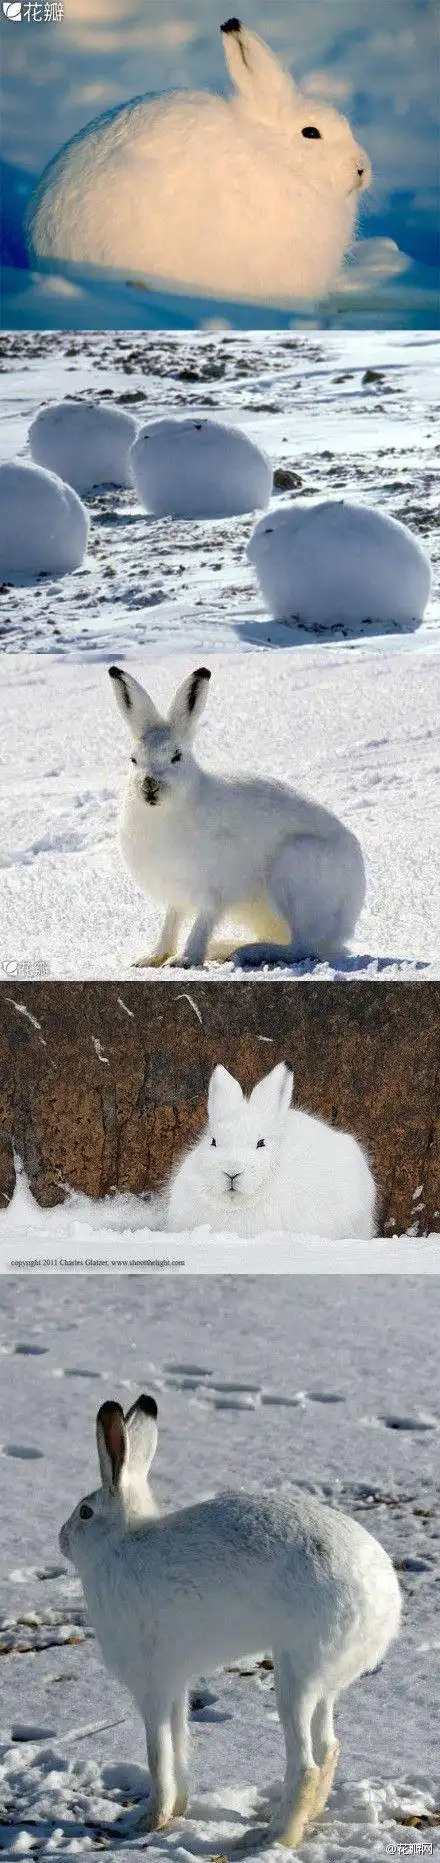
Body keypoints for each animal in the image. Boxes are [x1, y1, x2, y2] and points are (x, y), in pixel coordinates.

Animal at [59, 1393, 401, 1850]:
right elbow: (180, 1743)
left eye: (85, 1512)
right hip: (325, 1681)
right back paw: (297, 1821)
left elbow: (157, 1752)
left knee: (306, 1764)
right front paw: (177, 1811)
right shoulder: (176, 1684)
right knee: (329, 1746)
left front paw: (149, 1822)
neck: (120, 1543)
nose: (62, 1539)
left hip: (297, 1673)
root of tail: (384, 1602)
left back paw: (273, 1837)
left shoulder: (153, 1684)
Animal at [108, 663, 367, 971]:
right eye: (133, 759)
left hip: (296, 870)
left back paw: (249, 952)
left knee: (303, 947)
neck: (166, 813)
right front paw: (151, 958)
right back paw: (227, 948)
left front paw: (185, 959)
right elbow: (171, 923)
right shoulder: (177, 894)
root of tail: (348, 916)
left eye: (176, 756)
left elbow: (202, 923)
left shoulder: (215, 888)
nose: (149, 785)